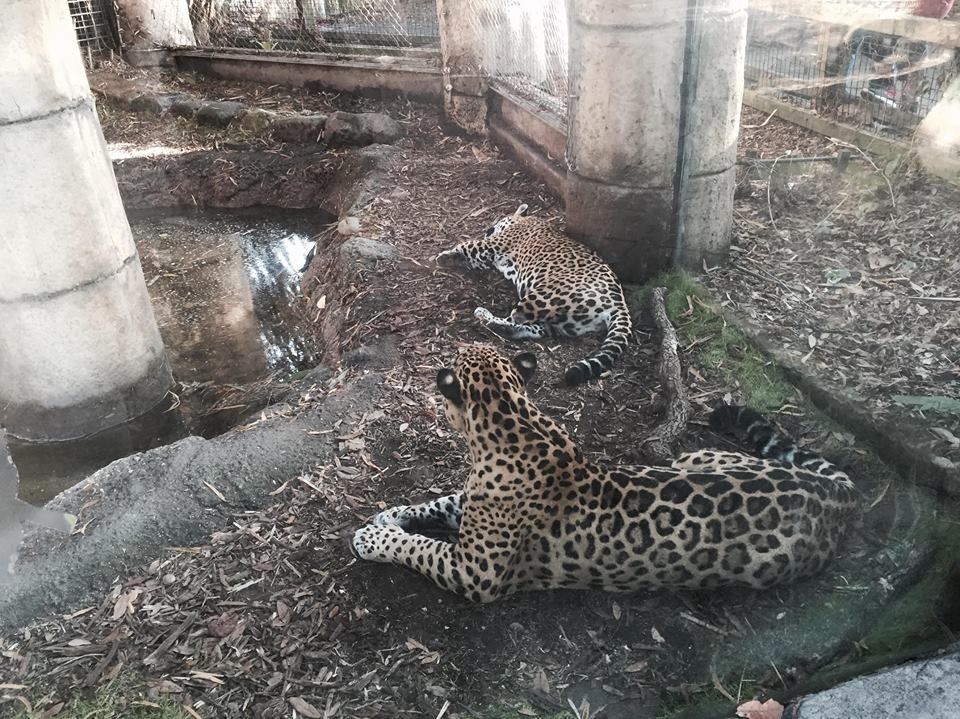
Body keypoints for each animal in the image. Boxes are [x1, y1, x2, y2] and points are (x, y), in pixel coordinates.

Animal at [352, 345, 860, 603]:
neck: (517, 421)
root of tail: (835, 494)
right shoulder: (472, 505)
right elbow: (436, 503)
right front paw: (388, 516)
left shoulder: (477, 571)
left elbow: (420, 547)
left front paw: (372, 538)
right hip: (711, 460)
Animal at [436, 204, 633, 385]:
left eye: (499, 222)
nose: (488, 230)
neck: (525, 220)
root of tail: (618, 301)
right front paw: (450, 257)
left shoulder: (492, 245)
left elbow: (467, 245)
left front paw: (444, 255)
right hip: (566, 323)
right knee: (536, 329)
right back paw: (502, 328)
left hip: (541, 297)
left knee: (516, 317)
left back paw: (485, 316)